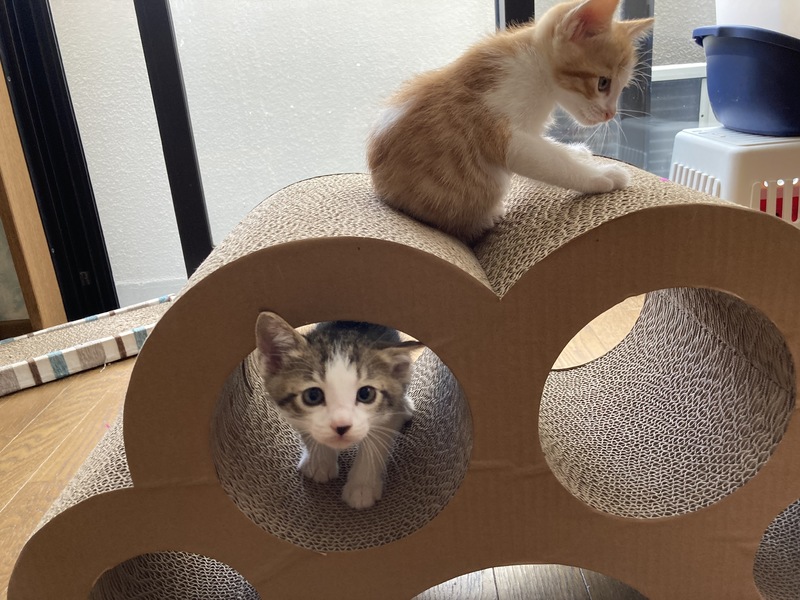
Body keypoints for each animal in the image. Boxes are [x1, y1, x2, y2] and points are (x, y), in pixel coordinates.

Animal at [255, 311, 423, 509]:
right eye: (313, 396)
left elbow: (378, 440)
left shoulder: (387, 413)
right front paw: (320, 461)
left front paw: (362, 487)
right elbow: (308, 430)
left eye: (366, 394)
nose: (341, 426)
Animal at [367, 0, 654, 243]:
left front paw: (576, 152)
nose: (610, 114)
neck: (535, 69)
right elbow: (551, 161)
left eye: (622, 87)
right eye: (603, 83)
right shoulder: (498, 126)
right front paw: (601, 175)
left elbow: (550, 148)